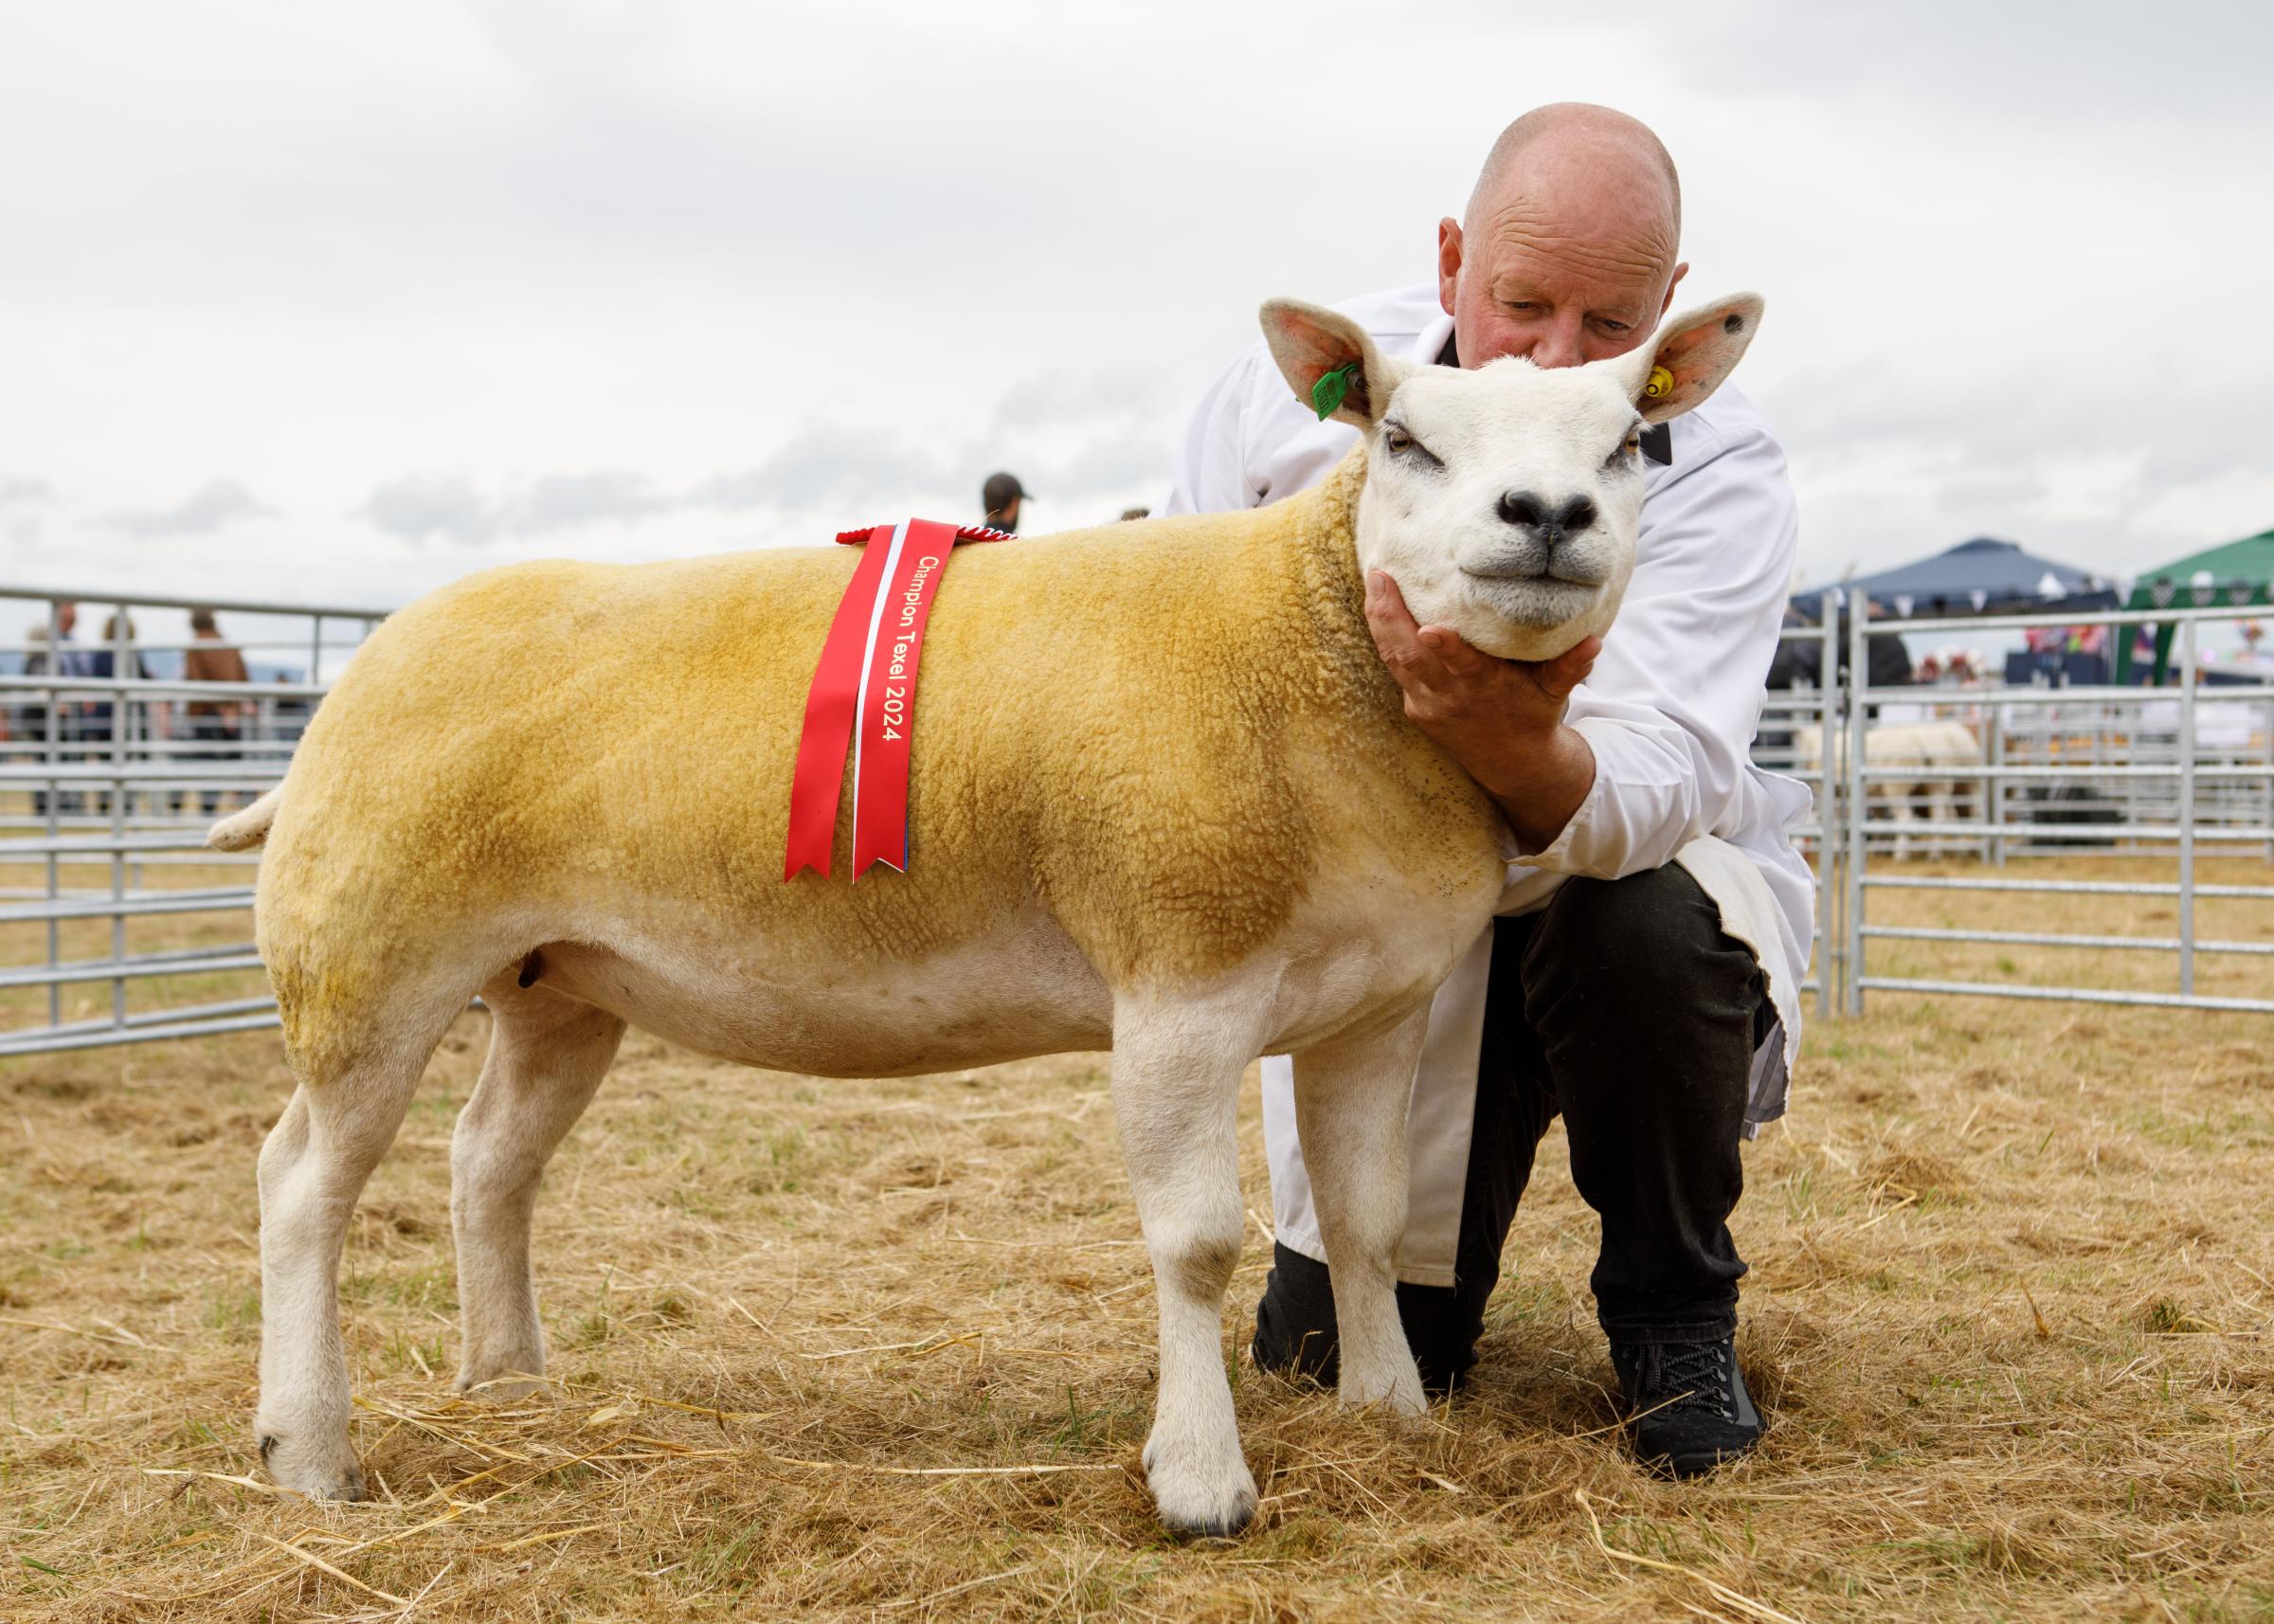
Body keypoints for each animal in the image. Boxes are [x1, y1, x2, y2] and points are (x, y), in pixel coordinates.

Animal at [213, 291, 1764, 1528]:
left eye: (1628, 447)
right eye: (1405, 440)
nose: (1547, 520)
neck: (1312, 639)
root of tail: (361, 671)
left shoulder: (1376, 1002)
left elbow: (1372, 1220)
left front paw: (1388, 1414)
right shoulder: (1178, 980)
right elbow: (1197, 1243)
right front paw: (1201, 1480)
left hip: (560, 980)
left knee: (488, 1162)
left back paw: (511, 1385)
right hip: (366, 958)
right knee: (300, 1185)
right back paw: (312, 1450)